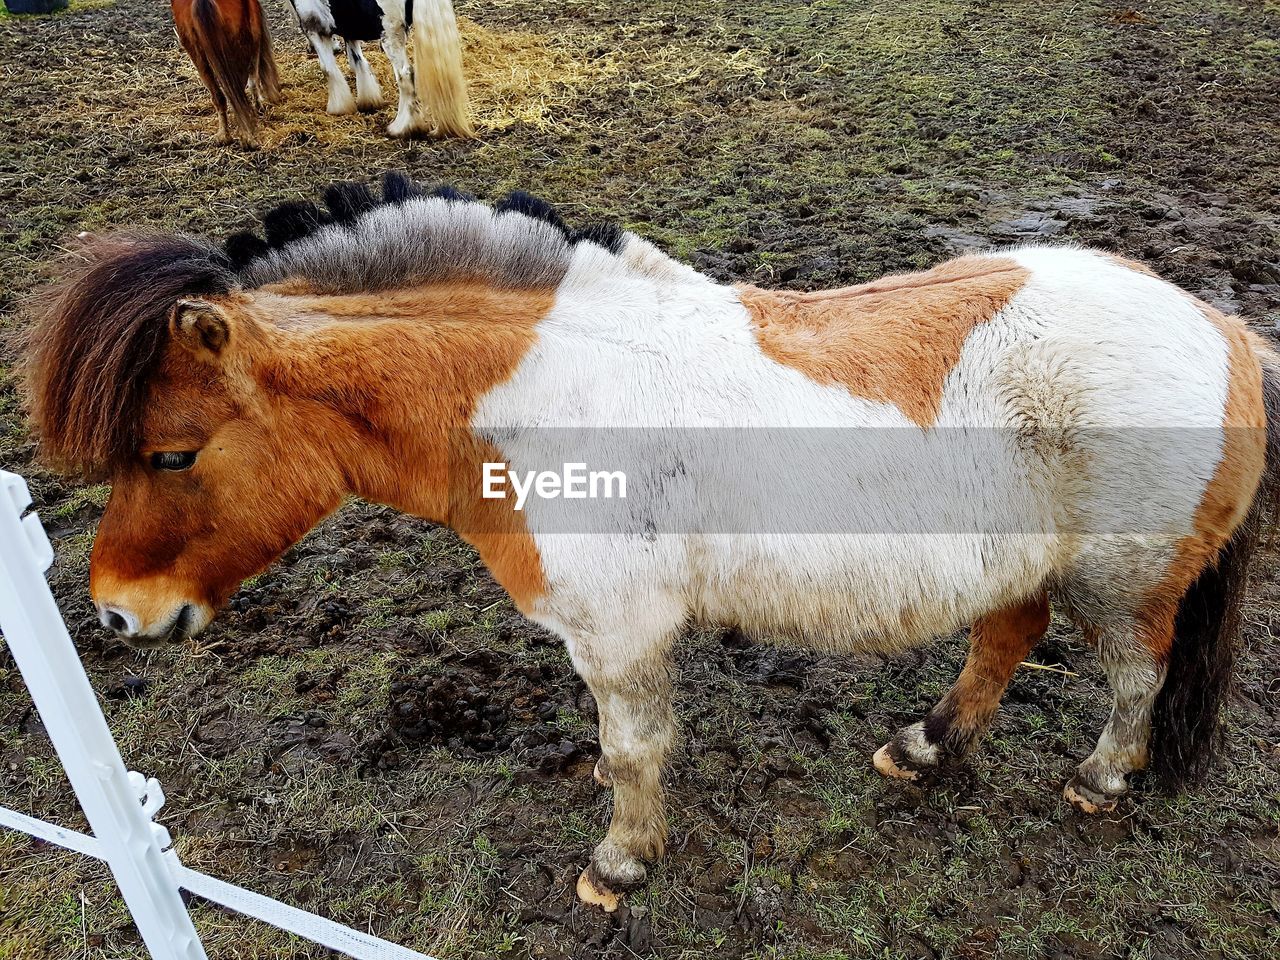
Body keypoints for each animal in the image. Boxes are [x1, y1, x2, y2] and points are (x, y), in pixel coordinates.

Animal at [22, 176, 1280, 911]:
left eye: (171, 454)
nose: (117, 611)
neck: (536, 393)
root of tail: (1216, 325)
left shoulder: (618, 636)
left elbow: (633, 753)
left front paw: (618, 864)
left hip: (1122, 582)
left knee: (1132, 676)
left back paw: (1099, 783)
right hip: (1022, 563)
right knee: (1006, 639)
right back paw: (923, 748)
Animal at [172, 0, 282, 147]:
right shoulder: (255, 32)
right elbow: (253, 77)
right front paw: (259, 107)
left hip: (197, 55)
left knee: (220, 96)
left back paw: (225, 136)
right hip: (239, 43)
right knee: (239, 90)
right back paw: (247, 134)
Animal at [288, 0, 473, 136]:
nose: (309, 49)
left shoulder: (313, 27)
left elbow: (328, 69)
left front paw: (339, 107)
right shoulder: (350, 23)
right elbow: (358, 61)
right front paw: (368, 100)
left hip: (390, 34)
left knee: (405, 74)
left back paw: (403, 127)